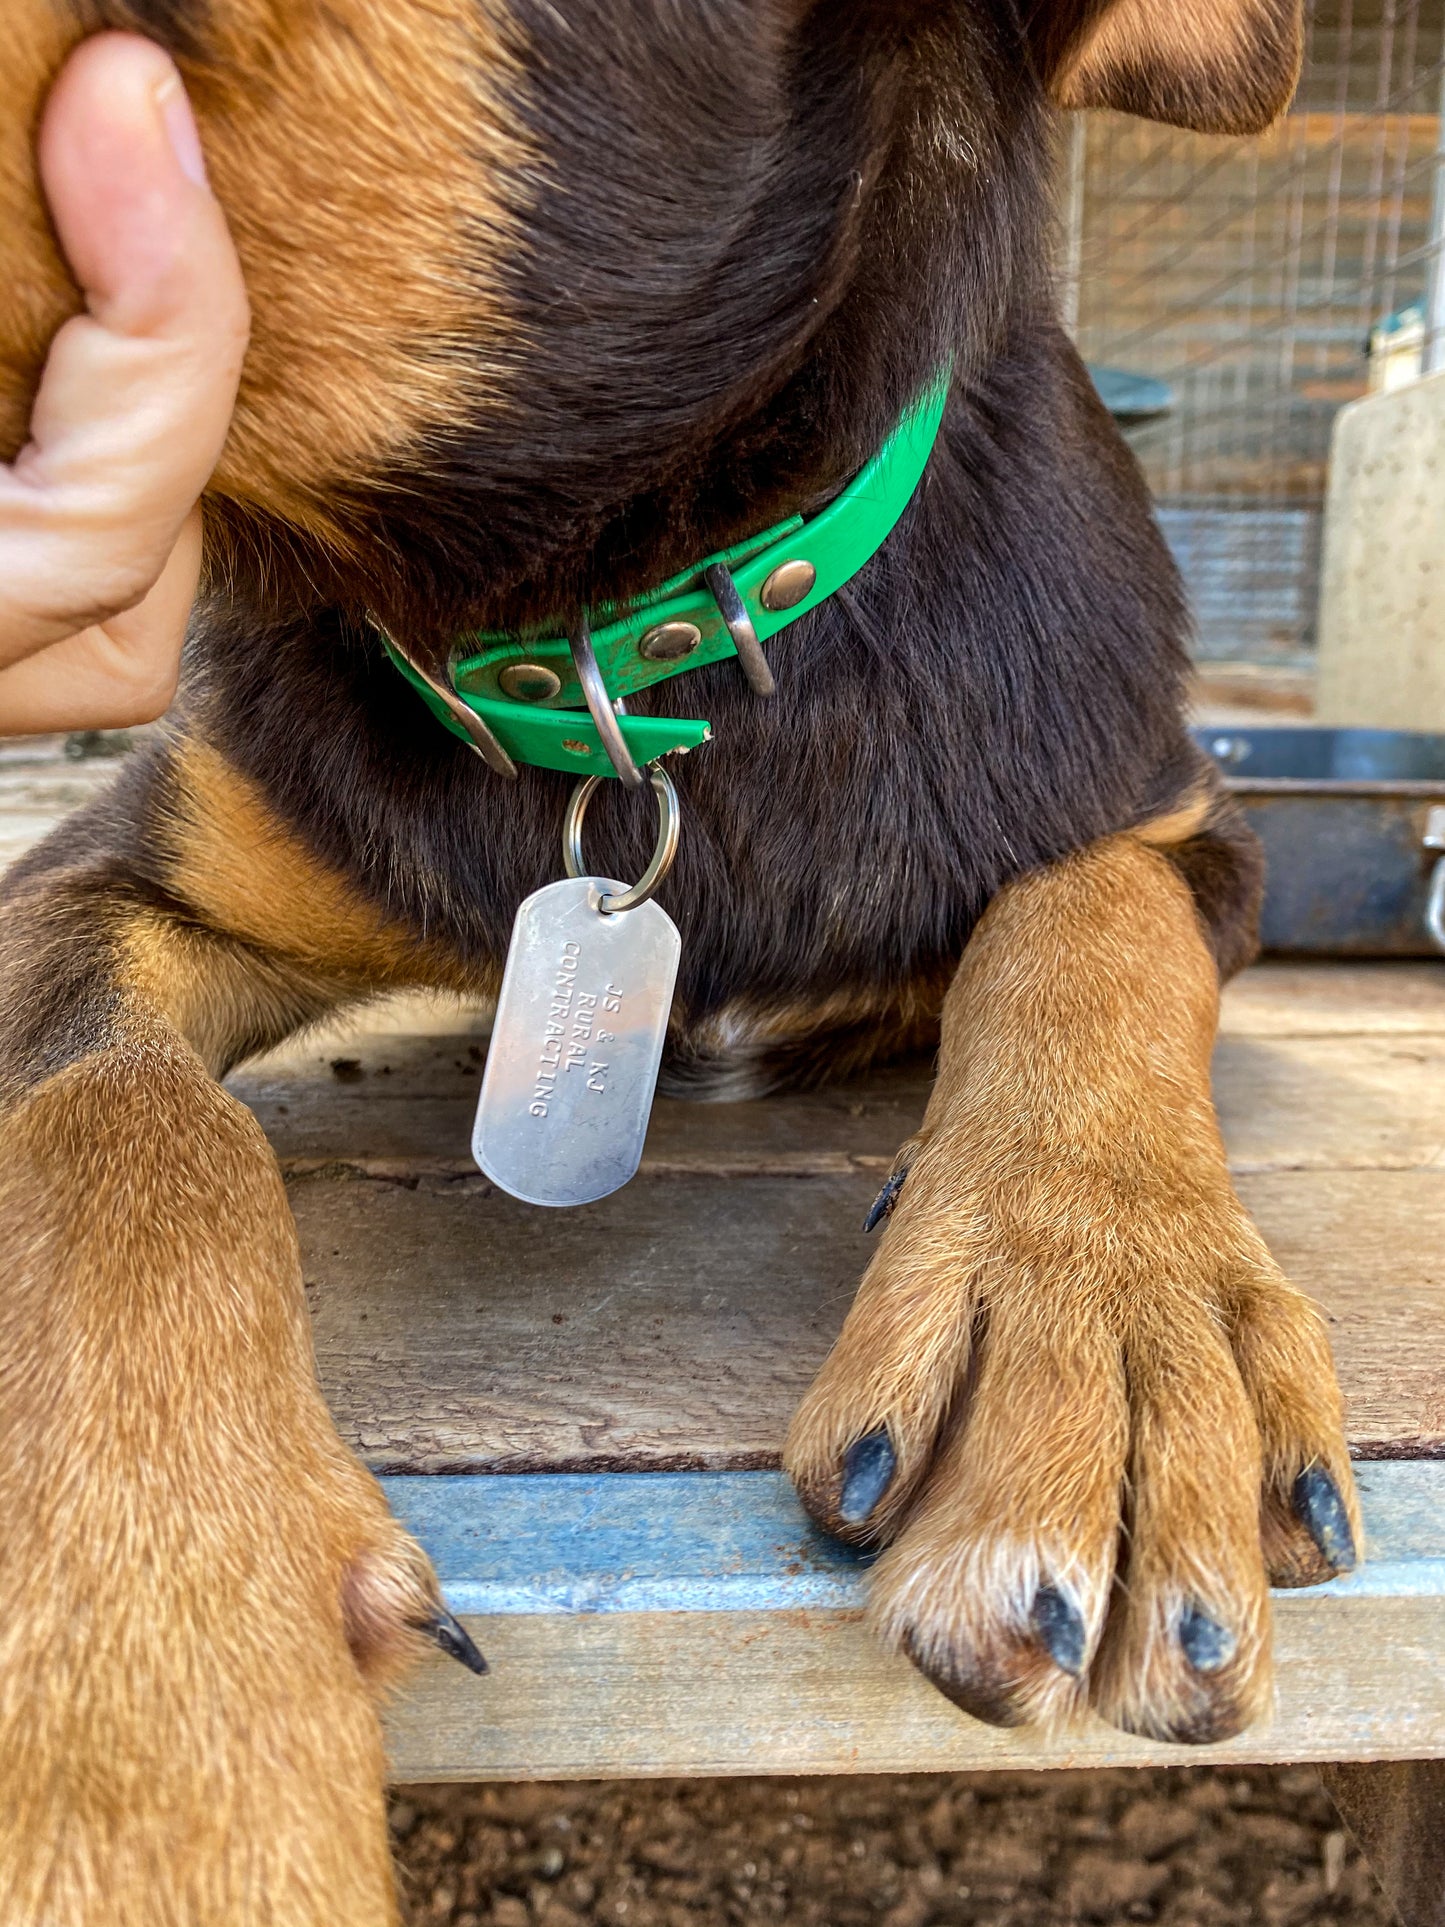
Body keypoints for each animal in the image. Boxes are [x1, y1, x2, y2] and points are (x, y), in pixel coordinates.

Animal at [0, 0, 1371, 1919]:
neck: (635, 646)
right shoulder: (120, 868)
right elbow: (126, 1117)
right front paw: (158, 1744)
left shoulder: (1185, 820)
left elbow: (1085, 918)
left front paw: (1101, 1300)